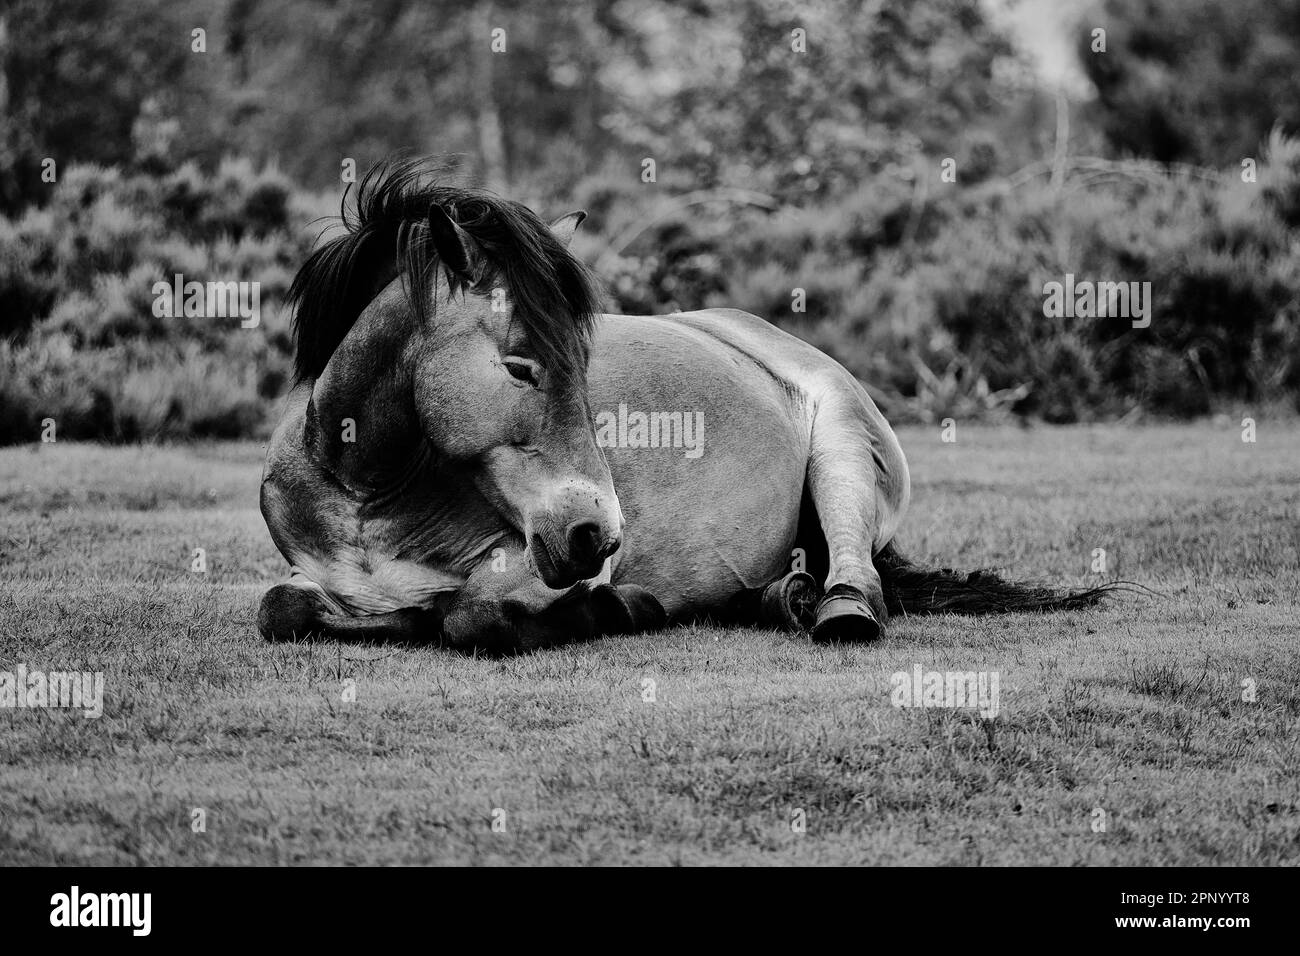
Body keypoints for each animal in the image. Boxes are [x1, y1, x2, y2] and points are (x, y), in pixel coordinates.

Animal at [256, 160, 1107, 655]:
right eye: (521, 365)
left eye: (585, 362)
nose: (598, 534)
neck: (370, 493)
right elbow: (281, 608)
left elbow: (470, 617)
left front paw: (614, 608)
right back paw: (775, 596)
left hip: (841, 445)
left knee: (855, 568)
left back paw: (831, 608)